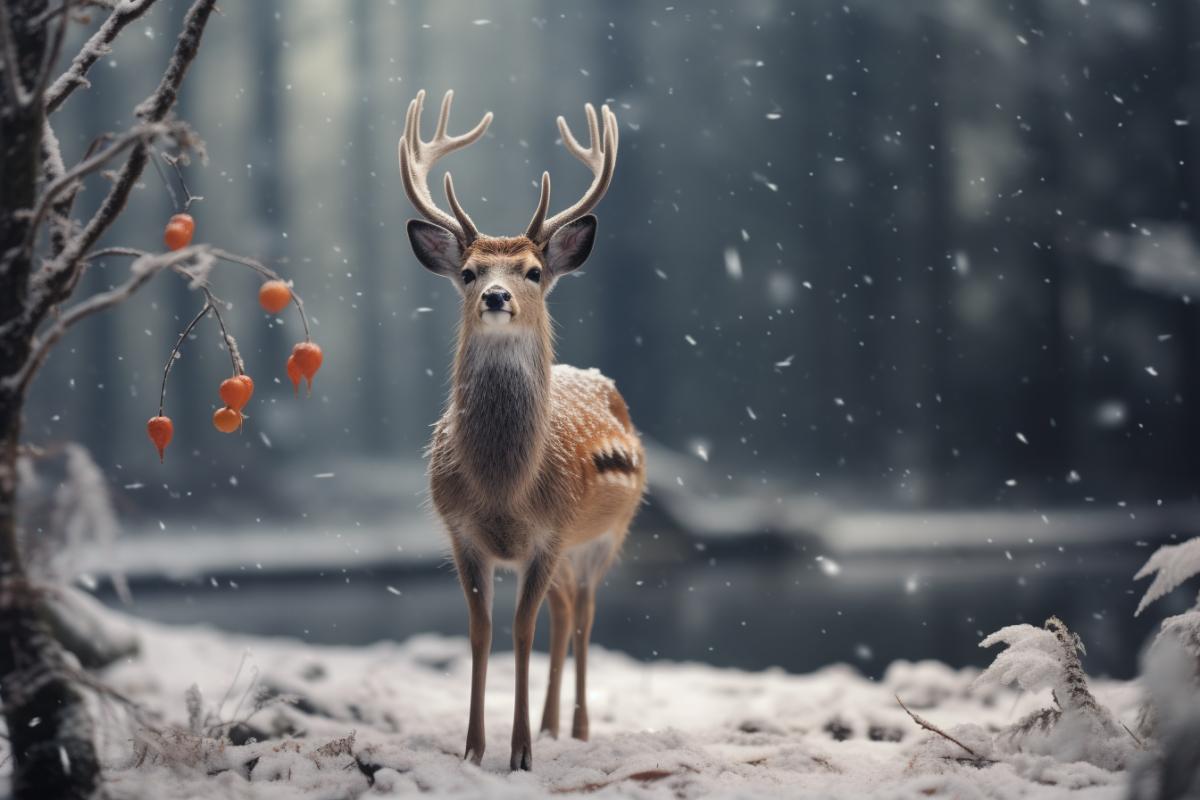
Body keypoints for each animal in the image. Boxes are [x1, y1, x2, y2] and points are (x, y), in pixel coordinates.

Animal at [397, 90, 645, 771]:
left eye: (533, 270)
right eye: (468, 271)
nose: (496, 297)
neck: (506, 489)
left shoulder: (551, 533)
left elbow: (521, 629)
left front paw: (521, 754)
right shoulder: (460, 534)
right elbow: (483, 632)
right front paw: (474, 750)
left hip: (605, 537)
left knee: (583, 613)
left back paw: (577, 729)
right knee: (564, 612)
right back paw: (555, 724)